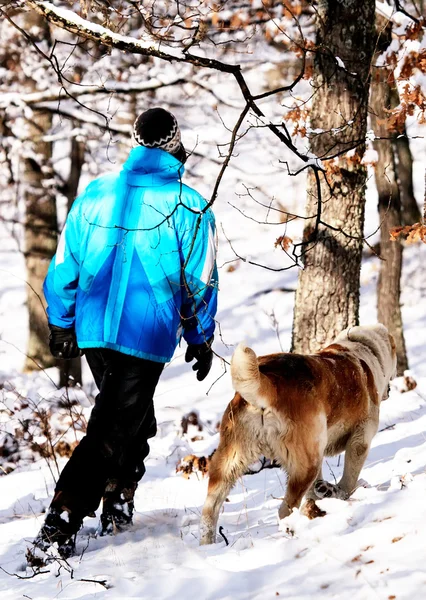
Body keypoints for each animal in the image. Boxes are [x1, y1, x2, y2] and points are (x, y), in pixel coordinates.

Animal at [200, 326, 396, 548]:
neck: (362, 351)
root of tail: (269, 382)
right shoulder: (360, 439)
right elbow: (349, 480)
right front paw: (337, 494)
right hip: (307, 463)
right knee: (285, 509)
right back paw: (293, 531)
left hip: (229, 460)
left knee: (210, 509)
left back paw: (207, 545)